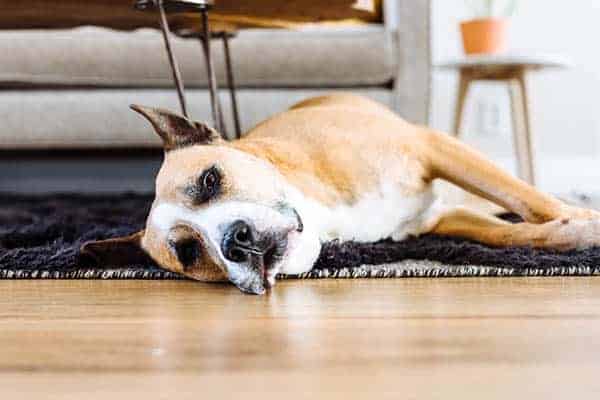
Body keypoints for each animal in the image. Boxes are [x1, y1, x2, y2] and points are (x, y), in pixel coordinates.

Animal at [82, 94, 600, 294]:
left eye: (210, 180)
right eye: (189, 252)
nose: (236, 240)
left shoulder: (431, 146)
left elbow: (530, 202)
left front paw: (584, 221)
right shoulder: (437, 220)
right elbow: (519, 235)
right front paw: (574, 236)